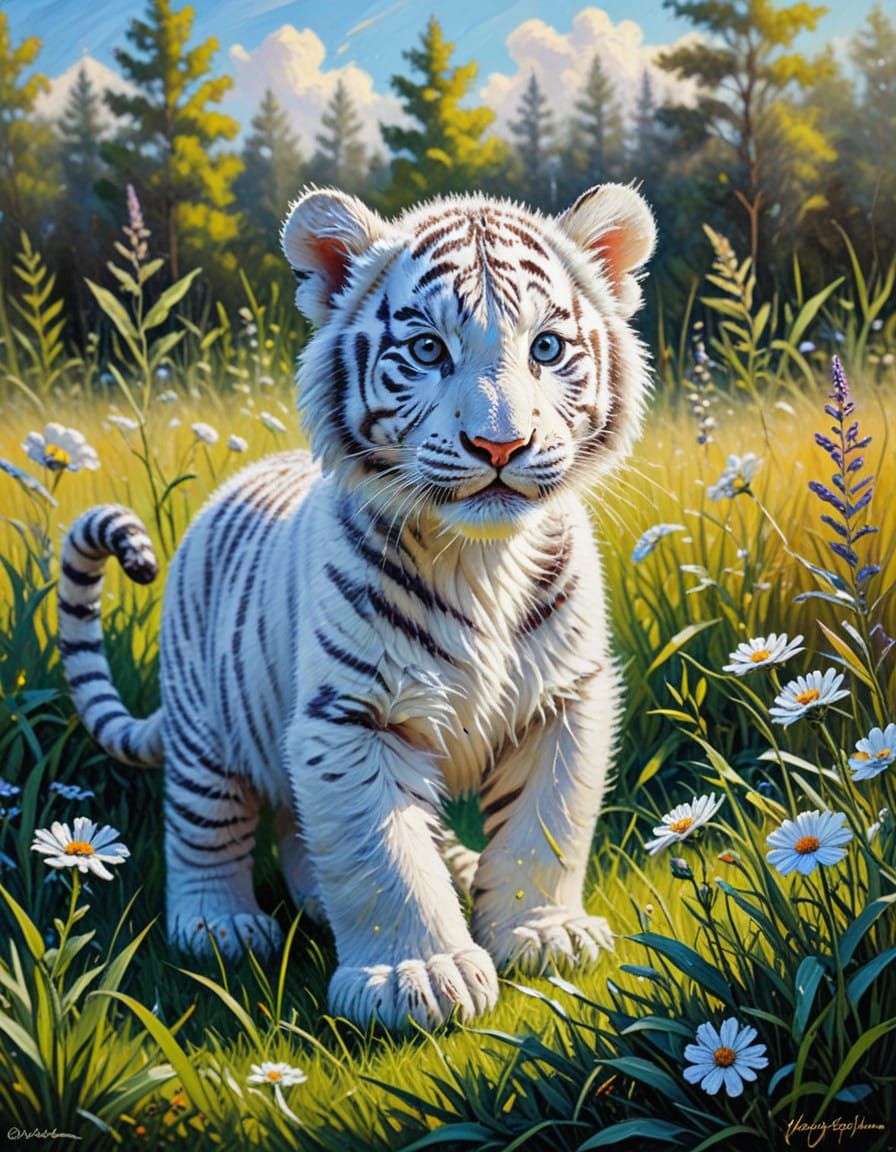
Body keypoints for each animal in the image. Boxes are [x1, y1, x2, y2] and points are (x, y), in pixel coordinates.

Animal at [58, 182, 656, 1029]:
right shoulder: (347, 717)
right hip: (209, 728)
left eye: (545, 348)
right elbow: (381, 854)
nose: (500, 447)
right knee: (207, 829)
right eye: (429, 351)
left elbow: (547, 826)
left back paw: (453, 866)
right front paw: (420, 976)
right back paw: (220, 924)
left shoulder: (566, 699)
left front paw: (543, 934)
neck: (483, 558)